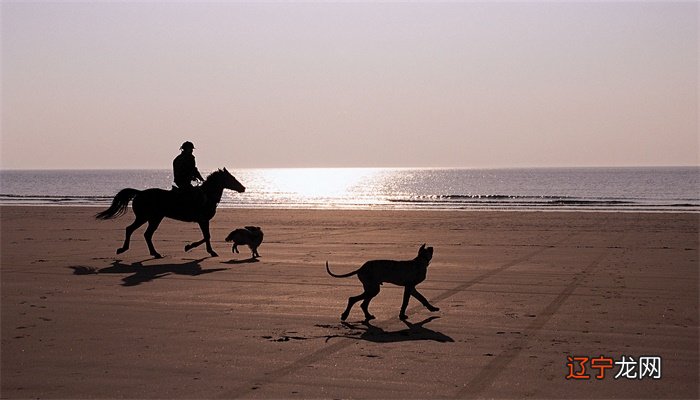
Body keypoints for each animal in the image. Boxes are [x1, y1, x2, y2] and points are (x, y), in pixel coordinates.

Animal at [95, 167, 243, 258]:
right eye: (231, 178)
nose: (243, 188)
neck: (207, 195)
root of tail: (140, 193)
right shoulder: (203, 220)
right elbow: (207, 236)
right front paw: (192, 247)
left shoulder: (203, 221)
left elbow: (206, 236)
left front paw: (207, 250)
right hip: (145, 217)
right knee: (131, 229)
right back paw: (124, 249)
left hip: (154, 218)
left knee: (146, 234)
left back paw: (154, 253)